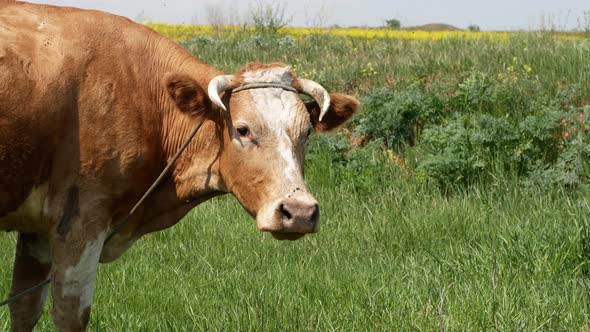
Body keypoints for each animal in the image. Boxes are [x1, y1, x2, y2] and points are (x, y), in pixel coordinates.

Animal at [0, 1, 358, 330]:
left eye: (307, 132)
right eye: (243, 129)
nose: (299, 212)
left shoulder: (37, 231)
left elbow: (24, 307)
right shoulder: (81, 221)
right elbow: (69, 315)